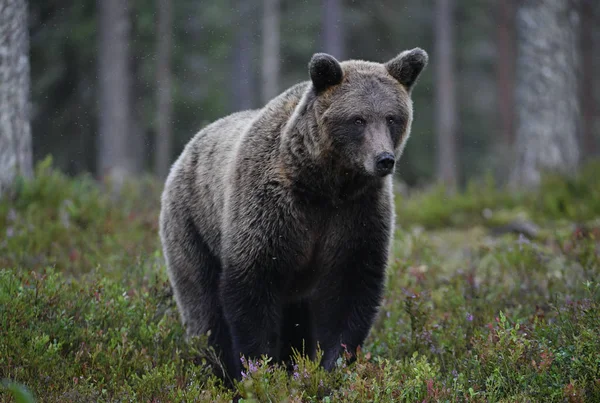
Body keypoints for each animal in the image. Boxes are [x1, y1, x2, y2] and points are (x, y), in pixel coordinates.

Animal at [159, 49, 428, 384]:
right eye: (358, 119)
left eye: (392, 117)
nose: (384, 159)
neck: (322, 185)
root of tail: (189, 147)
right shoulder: (270, 210)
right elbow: (251, 288)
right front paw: (257, 367)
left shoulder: (357, 214)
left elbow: (352, 287)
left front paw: (333, 365)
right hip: (192, 223)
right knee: (203, 306)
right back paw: (218, 369)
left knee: (295, 320)